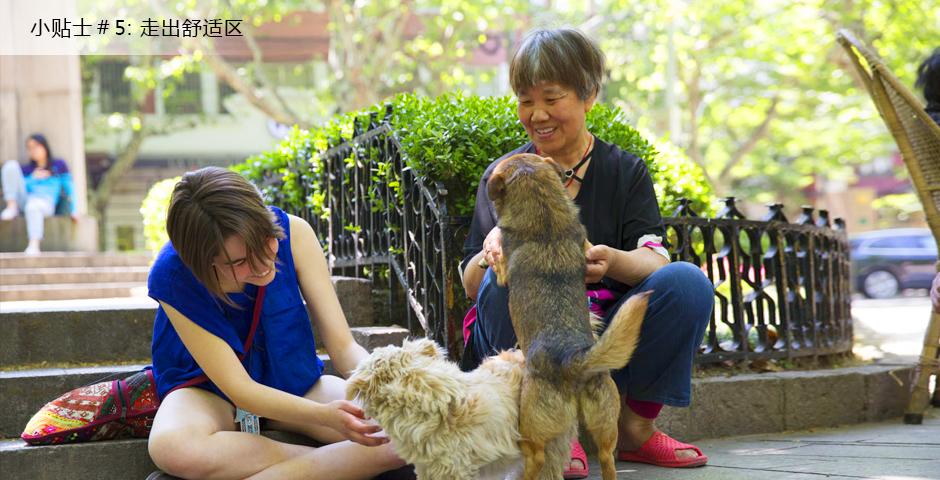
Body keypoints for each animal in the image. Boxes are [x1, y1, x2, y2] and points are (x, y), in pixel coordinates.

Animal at [488, 153, 648, 480]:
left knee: (535, 458)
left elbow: (497, 261)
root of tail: (572, 359)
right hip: (606, 422)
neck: (546, 218)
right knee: (607, 458)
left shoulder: (503, 266)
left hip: (532, 426)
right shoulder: (585, 242)